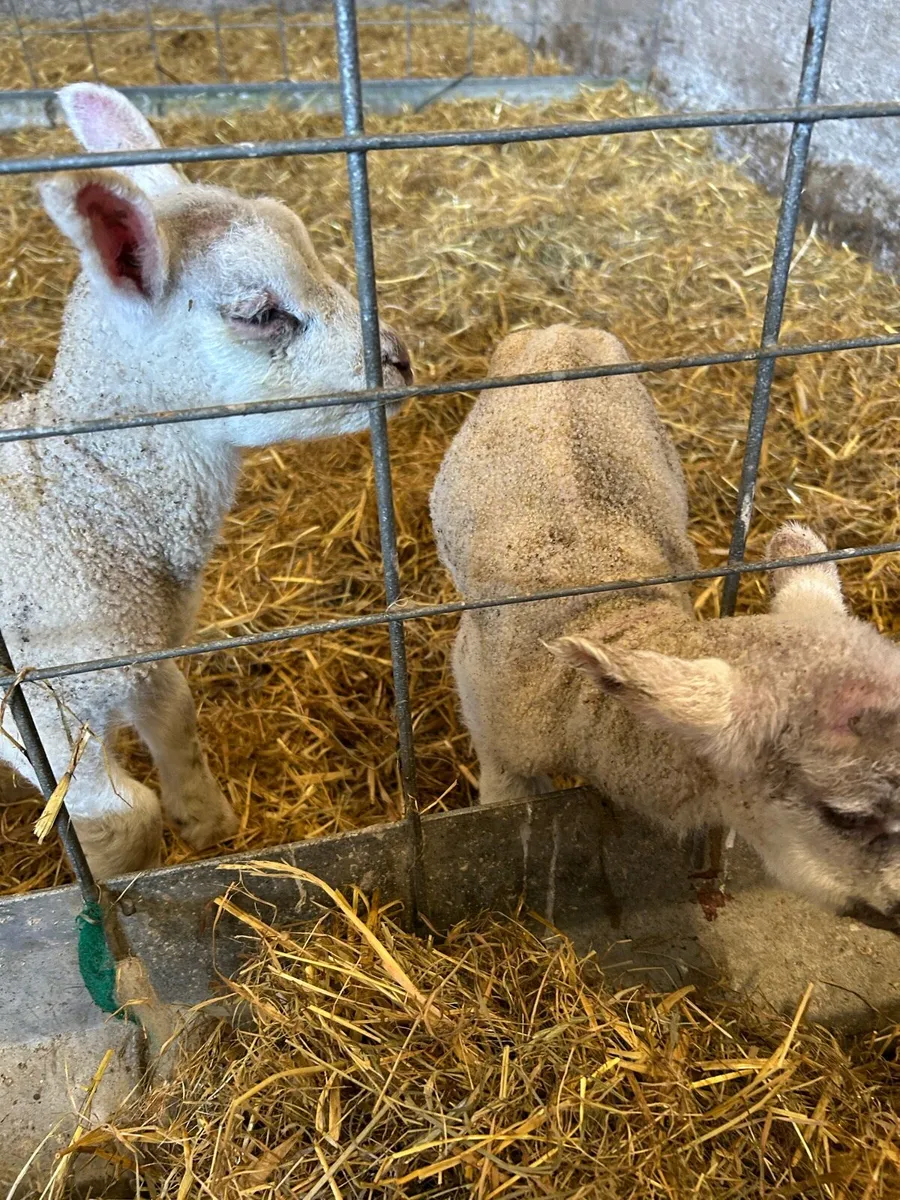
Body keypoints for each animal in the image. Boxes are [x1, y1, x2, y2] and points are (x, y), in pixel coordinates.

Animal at [0, 83, 412, 880]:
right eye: (261, 313)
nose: (401, 359)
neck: (82, 497)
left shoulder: (148, 644)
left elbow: (178, 720)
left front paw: (208, 823)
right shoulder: (43, 707)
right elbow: (121, 813)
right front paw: (115, 879)